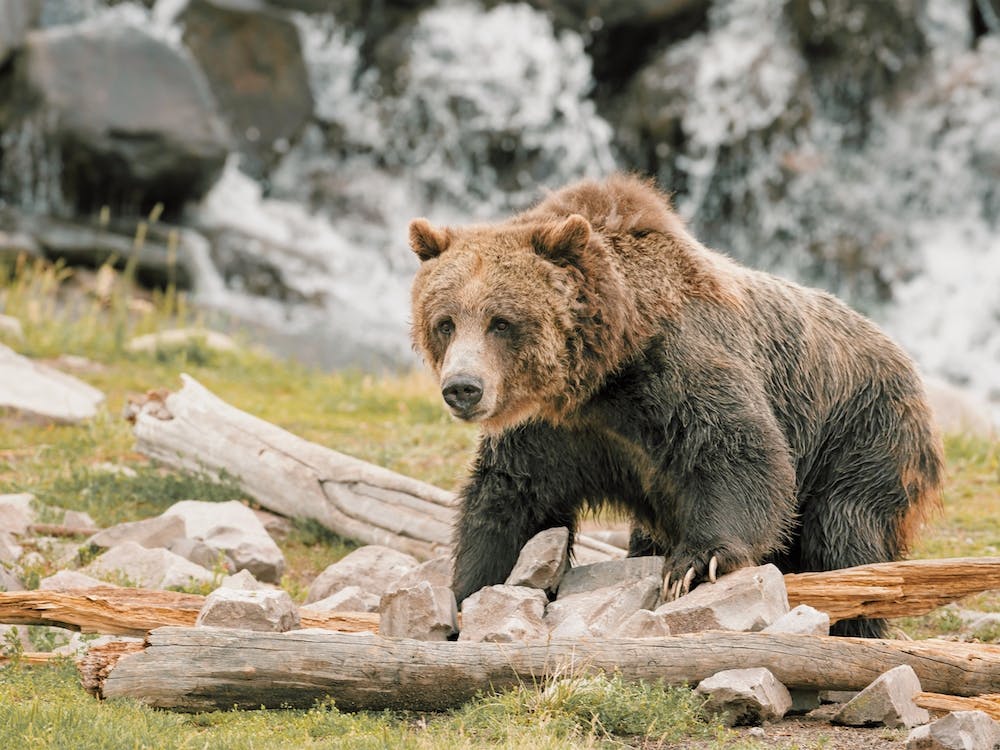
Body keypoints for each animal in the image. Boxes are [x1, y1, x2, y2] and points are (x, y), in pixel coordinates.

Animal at [408, 174, 944, 638]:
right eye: (445, 321)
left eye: (501, 321)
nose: (463, 387)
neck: (604, 375)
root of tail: (905, 360)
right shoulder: (555, 431)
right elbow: (510, 499)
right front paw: (468, 590)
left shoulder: (676, 369)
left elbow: (738, 451)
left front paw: (693, 565)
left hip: (862, 435)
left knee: (846, 535)